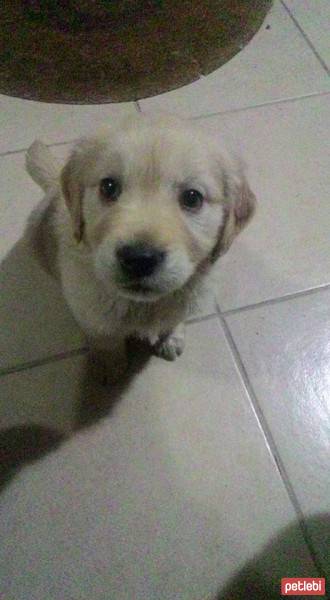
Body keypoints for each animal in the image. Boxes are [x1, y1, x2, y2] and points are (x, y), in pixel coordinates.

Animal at [25, 113, 255, 380]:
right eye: (108, 187)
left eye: (192, 197)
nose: (139, 259)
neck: (143, 306)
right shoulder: (91, 311)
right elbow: (106, 338)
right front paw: (110, 365)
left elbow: (174, 318)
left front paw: (171, 337)